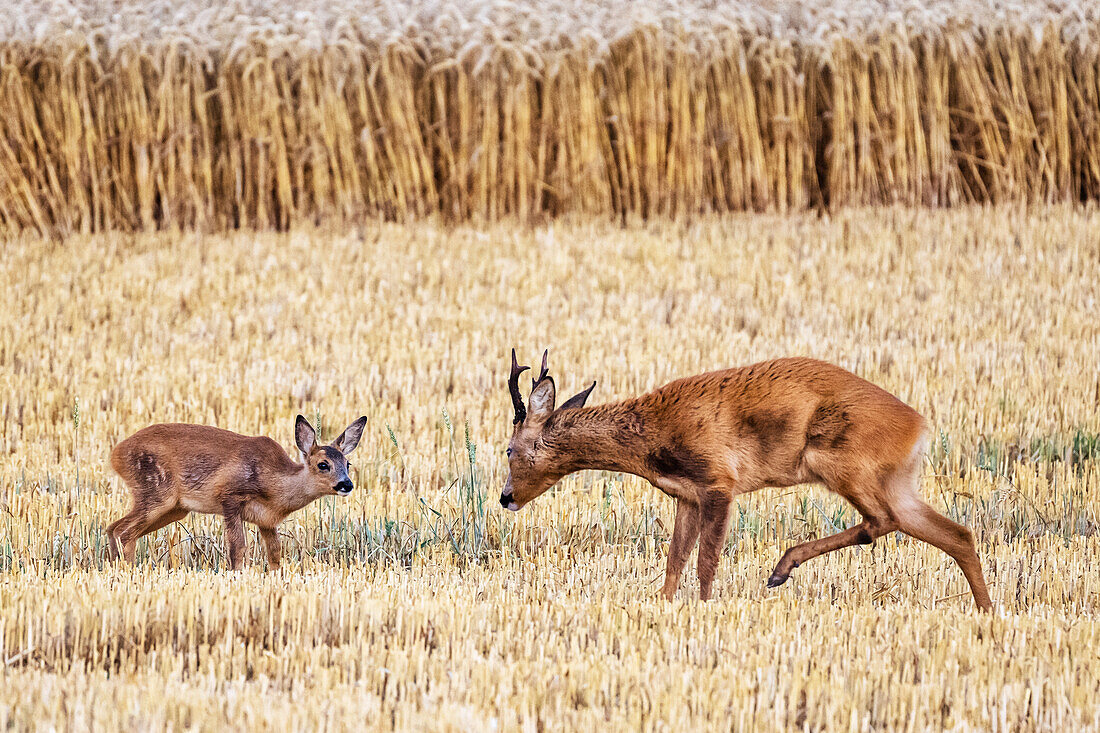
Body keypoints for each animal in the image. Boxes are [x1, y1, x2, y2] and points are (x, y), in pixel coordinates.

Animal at [107, 413, 367, 567]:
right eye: (323, 464)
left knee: (113, 528)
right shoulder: (229, 496)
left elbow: (275, 553)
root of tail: (116, 454)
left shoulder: (267, 520)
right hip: (156, 490)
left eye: (347, 464)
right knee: (123, 531)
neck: (274, 486)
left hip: (174, 508)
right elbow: (237, 548)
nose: (346, 484)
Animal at [503, 352, 994, 607]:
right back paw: (987, 612)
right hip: (896, 481)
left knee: (881, 522)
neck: (652, 437)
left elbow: (706, 561)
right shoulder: (687, 495)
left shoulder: (720, 481)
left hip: (843, 463)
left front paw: (705, 608)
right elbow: (675, 560)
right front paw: (663, 605)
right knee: (957, 534)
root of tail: (919, 427)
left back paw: (781, 569)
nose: (506, 497)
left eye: (508, 449)